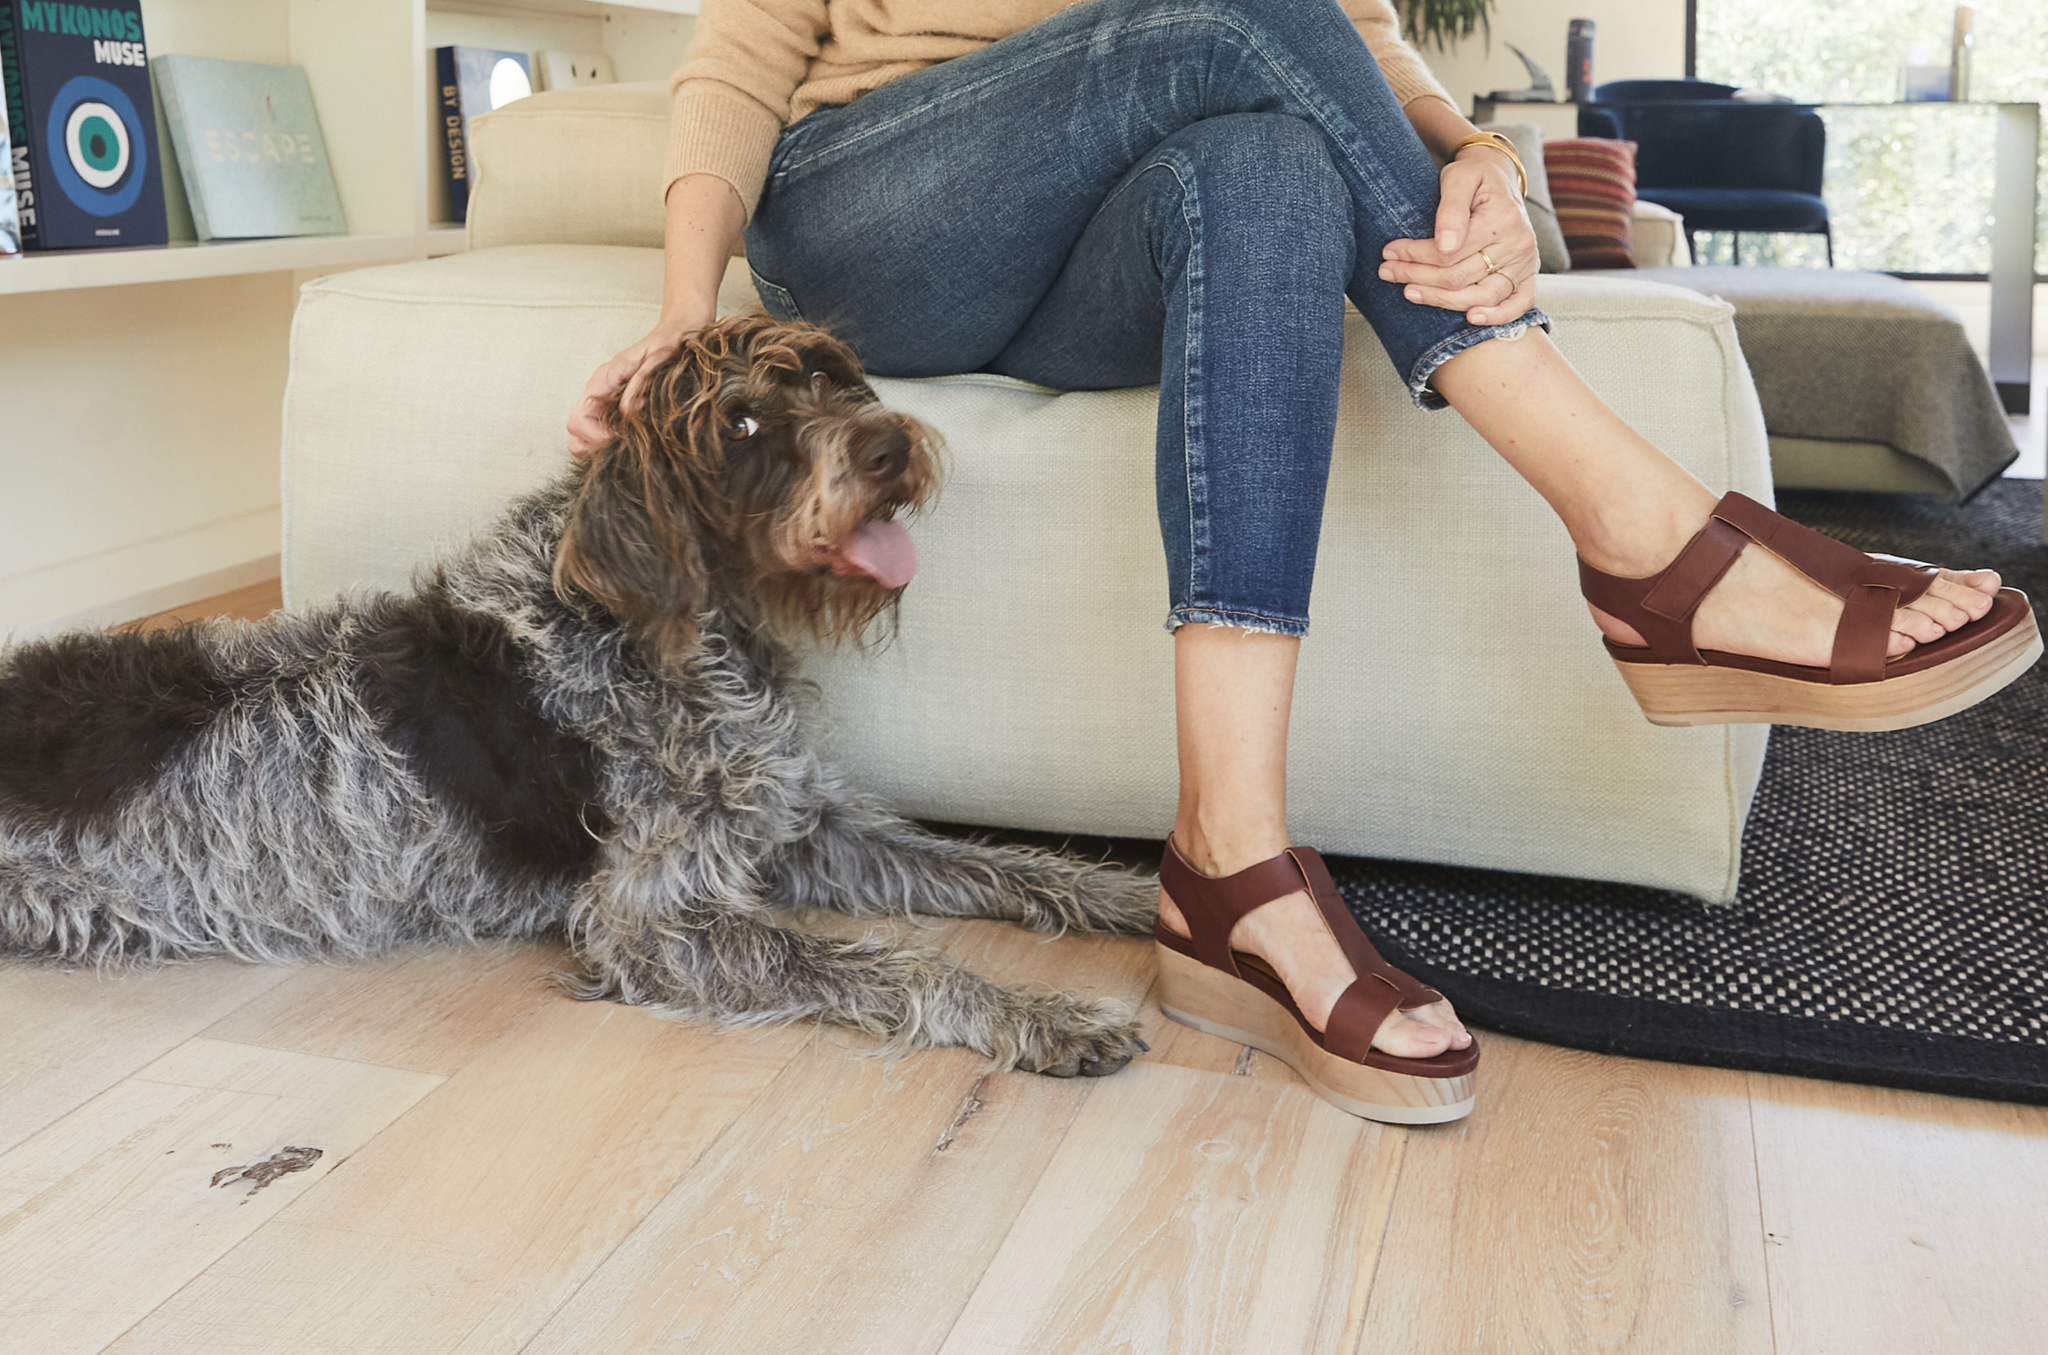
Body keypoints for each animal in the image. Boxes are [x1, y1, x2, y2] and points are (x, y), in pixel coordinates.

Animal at [0, 319, 1155, 1080]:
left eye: (831, 376)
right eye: (740, 422)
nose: (888, 444)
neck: (661, 634)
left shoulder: (802, 827)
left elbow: (1007, 865)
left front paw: (1147, 900)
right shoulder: (653, 917)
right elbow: (892, 958)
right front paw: (1043, 1011)